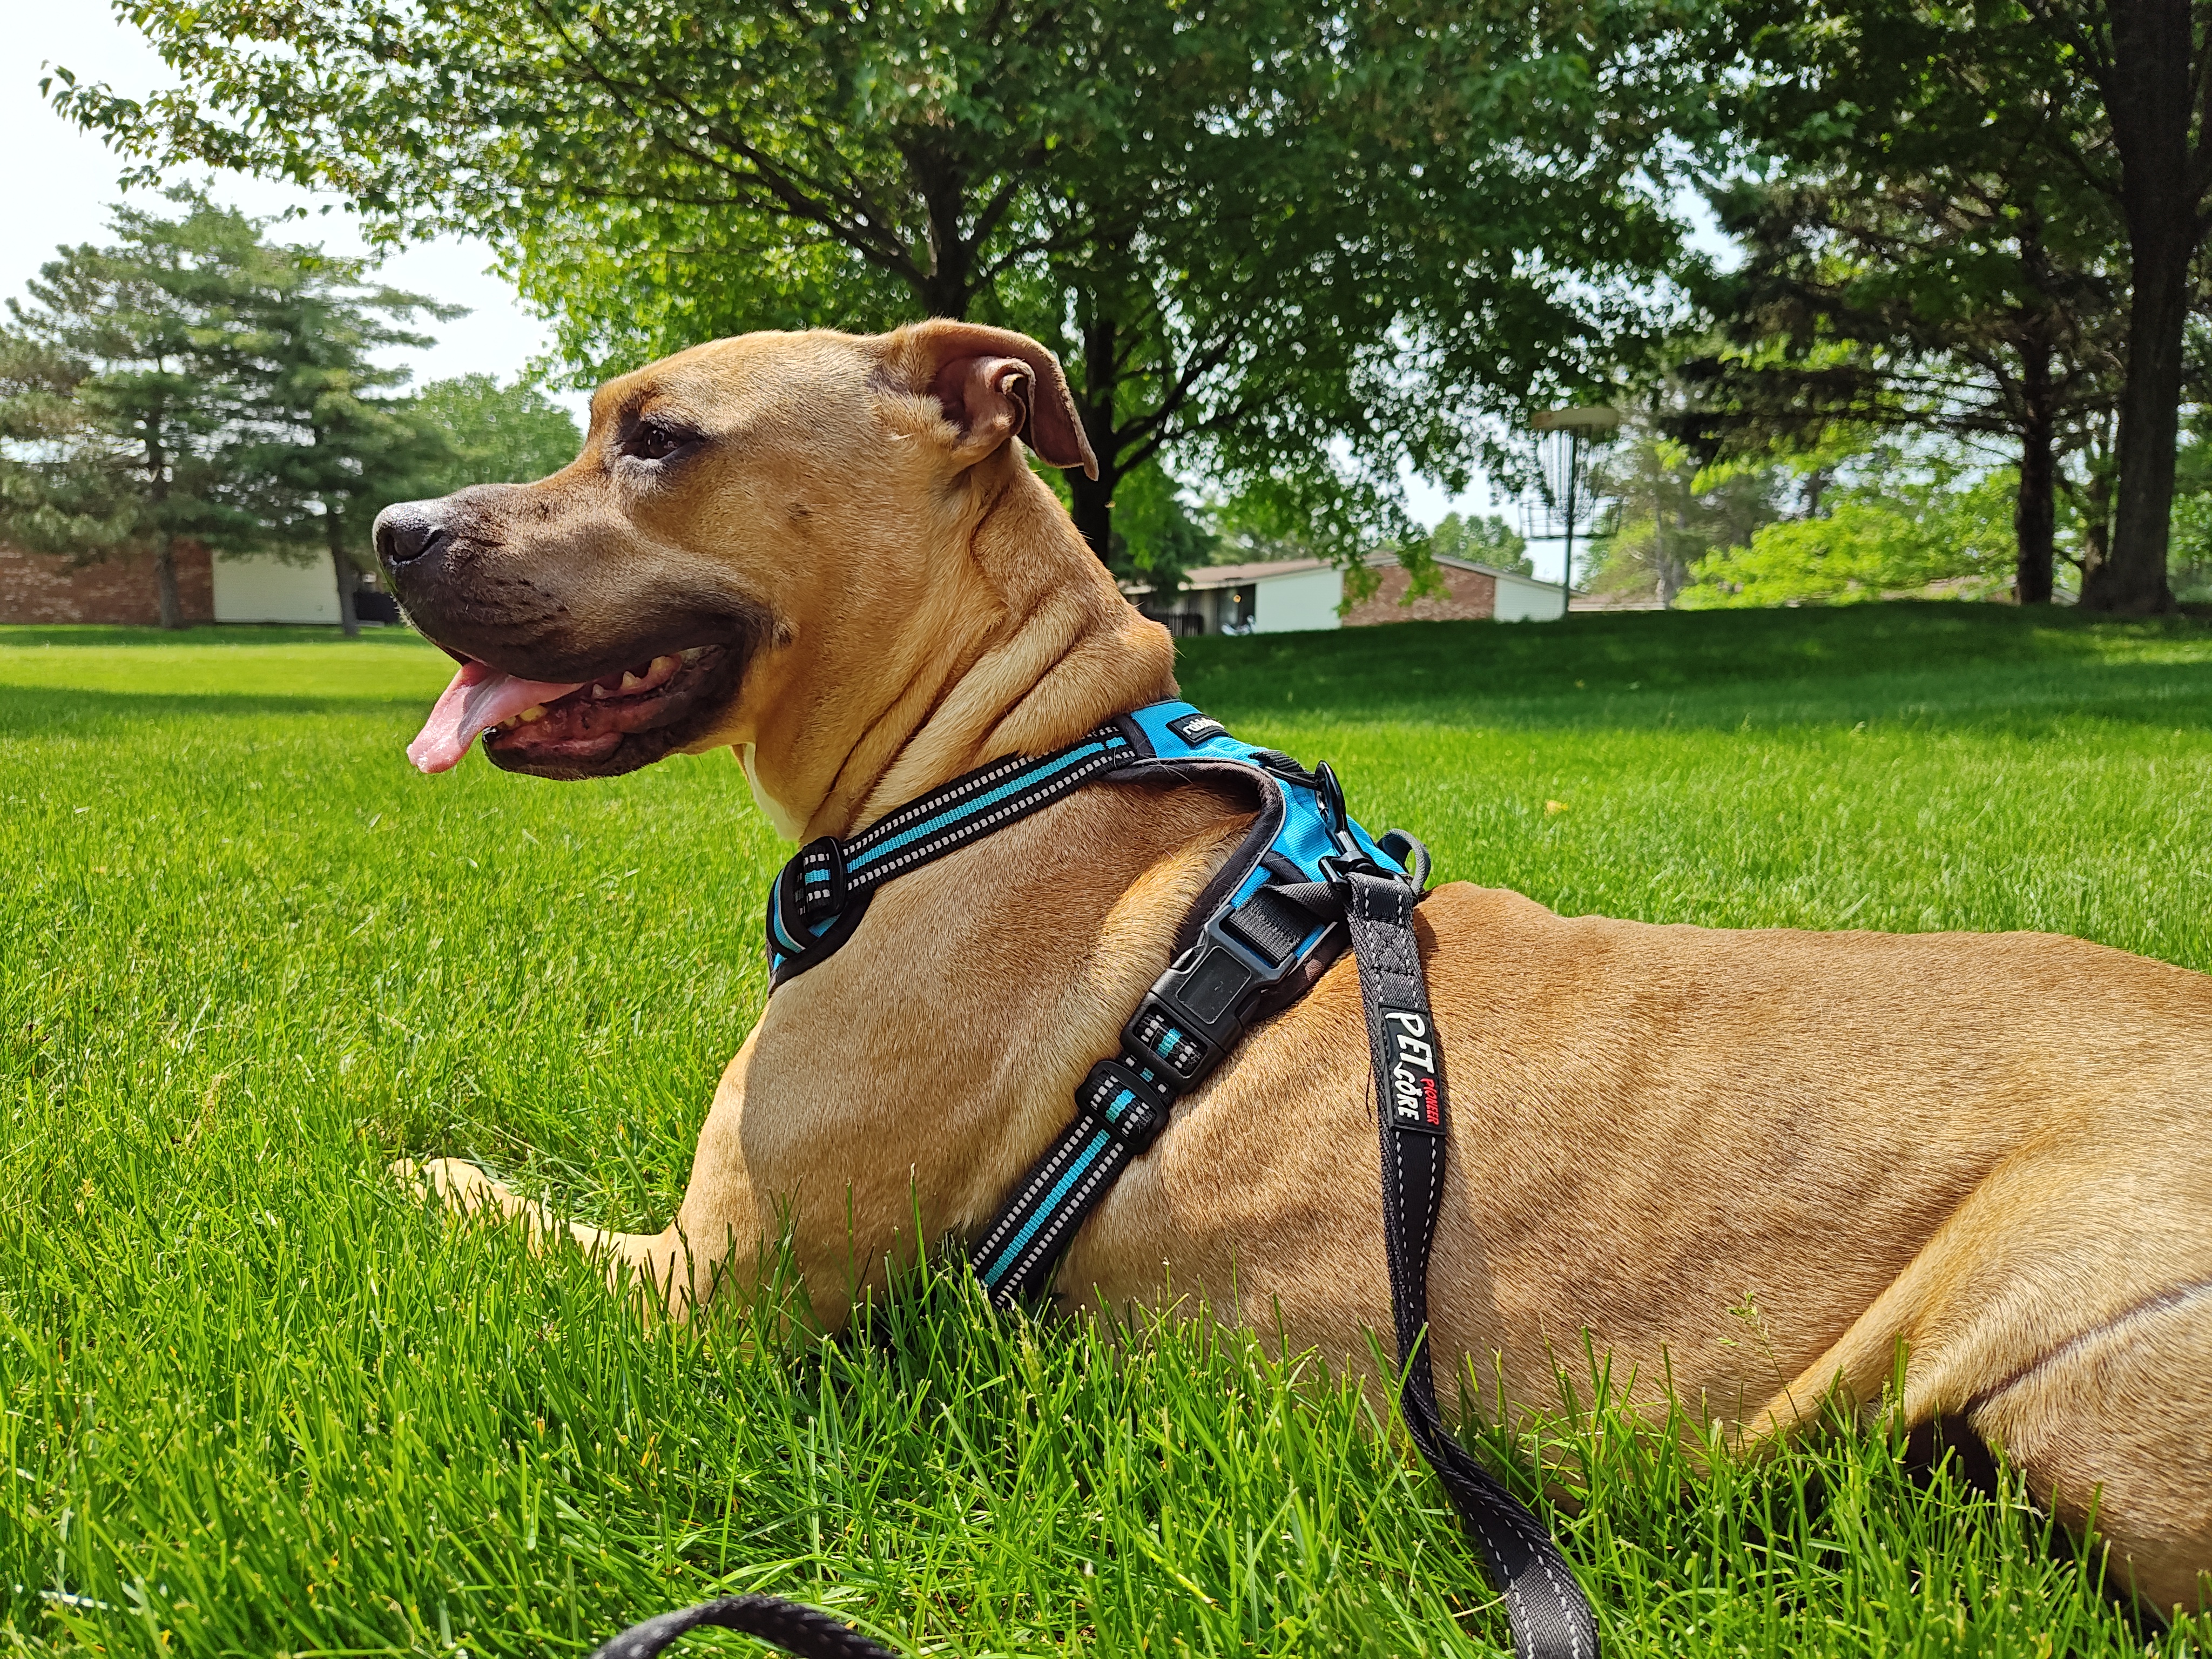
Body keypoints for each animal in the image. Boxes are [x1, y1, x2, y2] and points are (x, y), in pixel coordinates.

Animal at [372, 318, 2212, 1619]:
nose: (392, 526)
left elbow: (484, 1203)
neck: (1002, 755)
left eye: (659, 438)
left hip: (2079, 1327)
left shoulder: (710, 1292)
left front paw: (403, 1172)